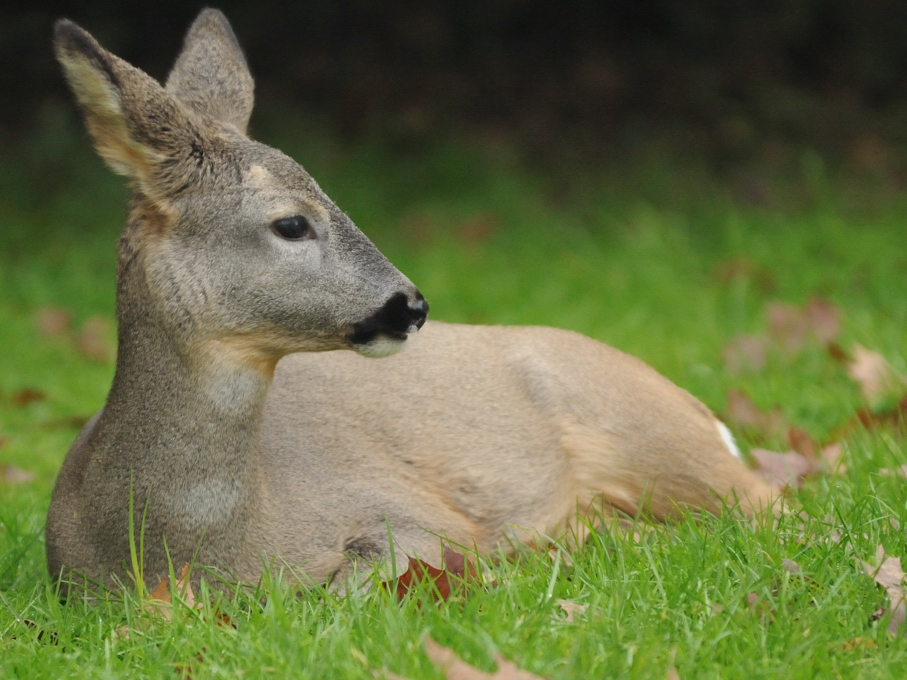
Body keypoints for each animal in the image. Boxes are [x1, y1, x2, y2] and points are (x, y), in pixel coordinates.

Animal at [48, 11, 772, 596]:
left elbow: (353, 587)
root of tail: (706, 415)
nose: (411, 305)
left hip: (655, 438)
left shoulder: (413, 515)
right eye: (291, 223)